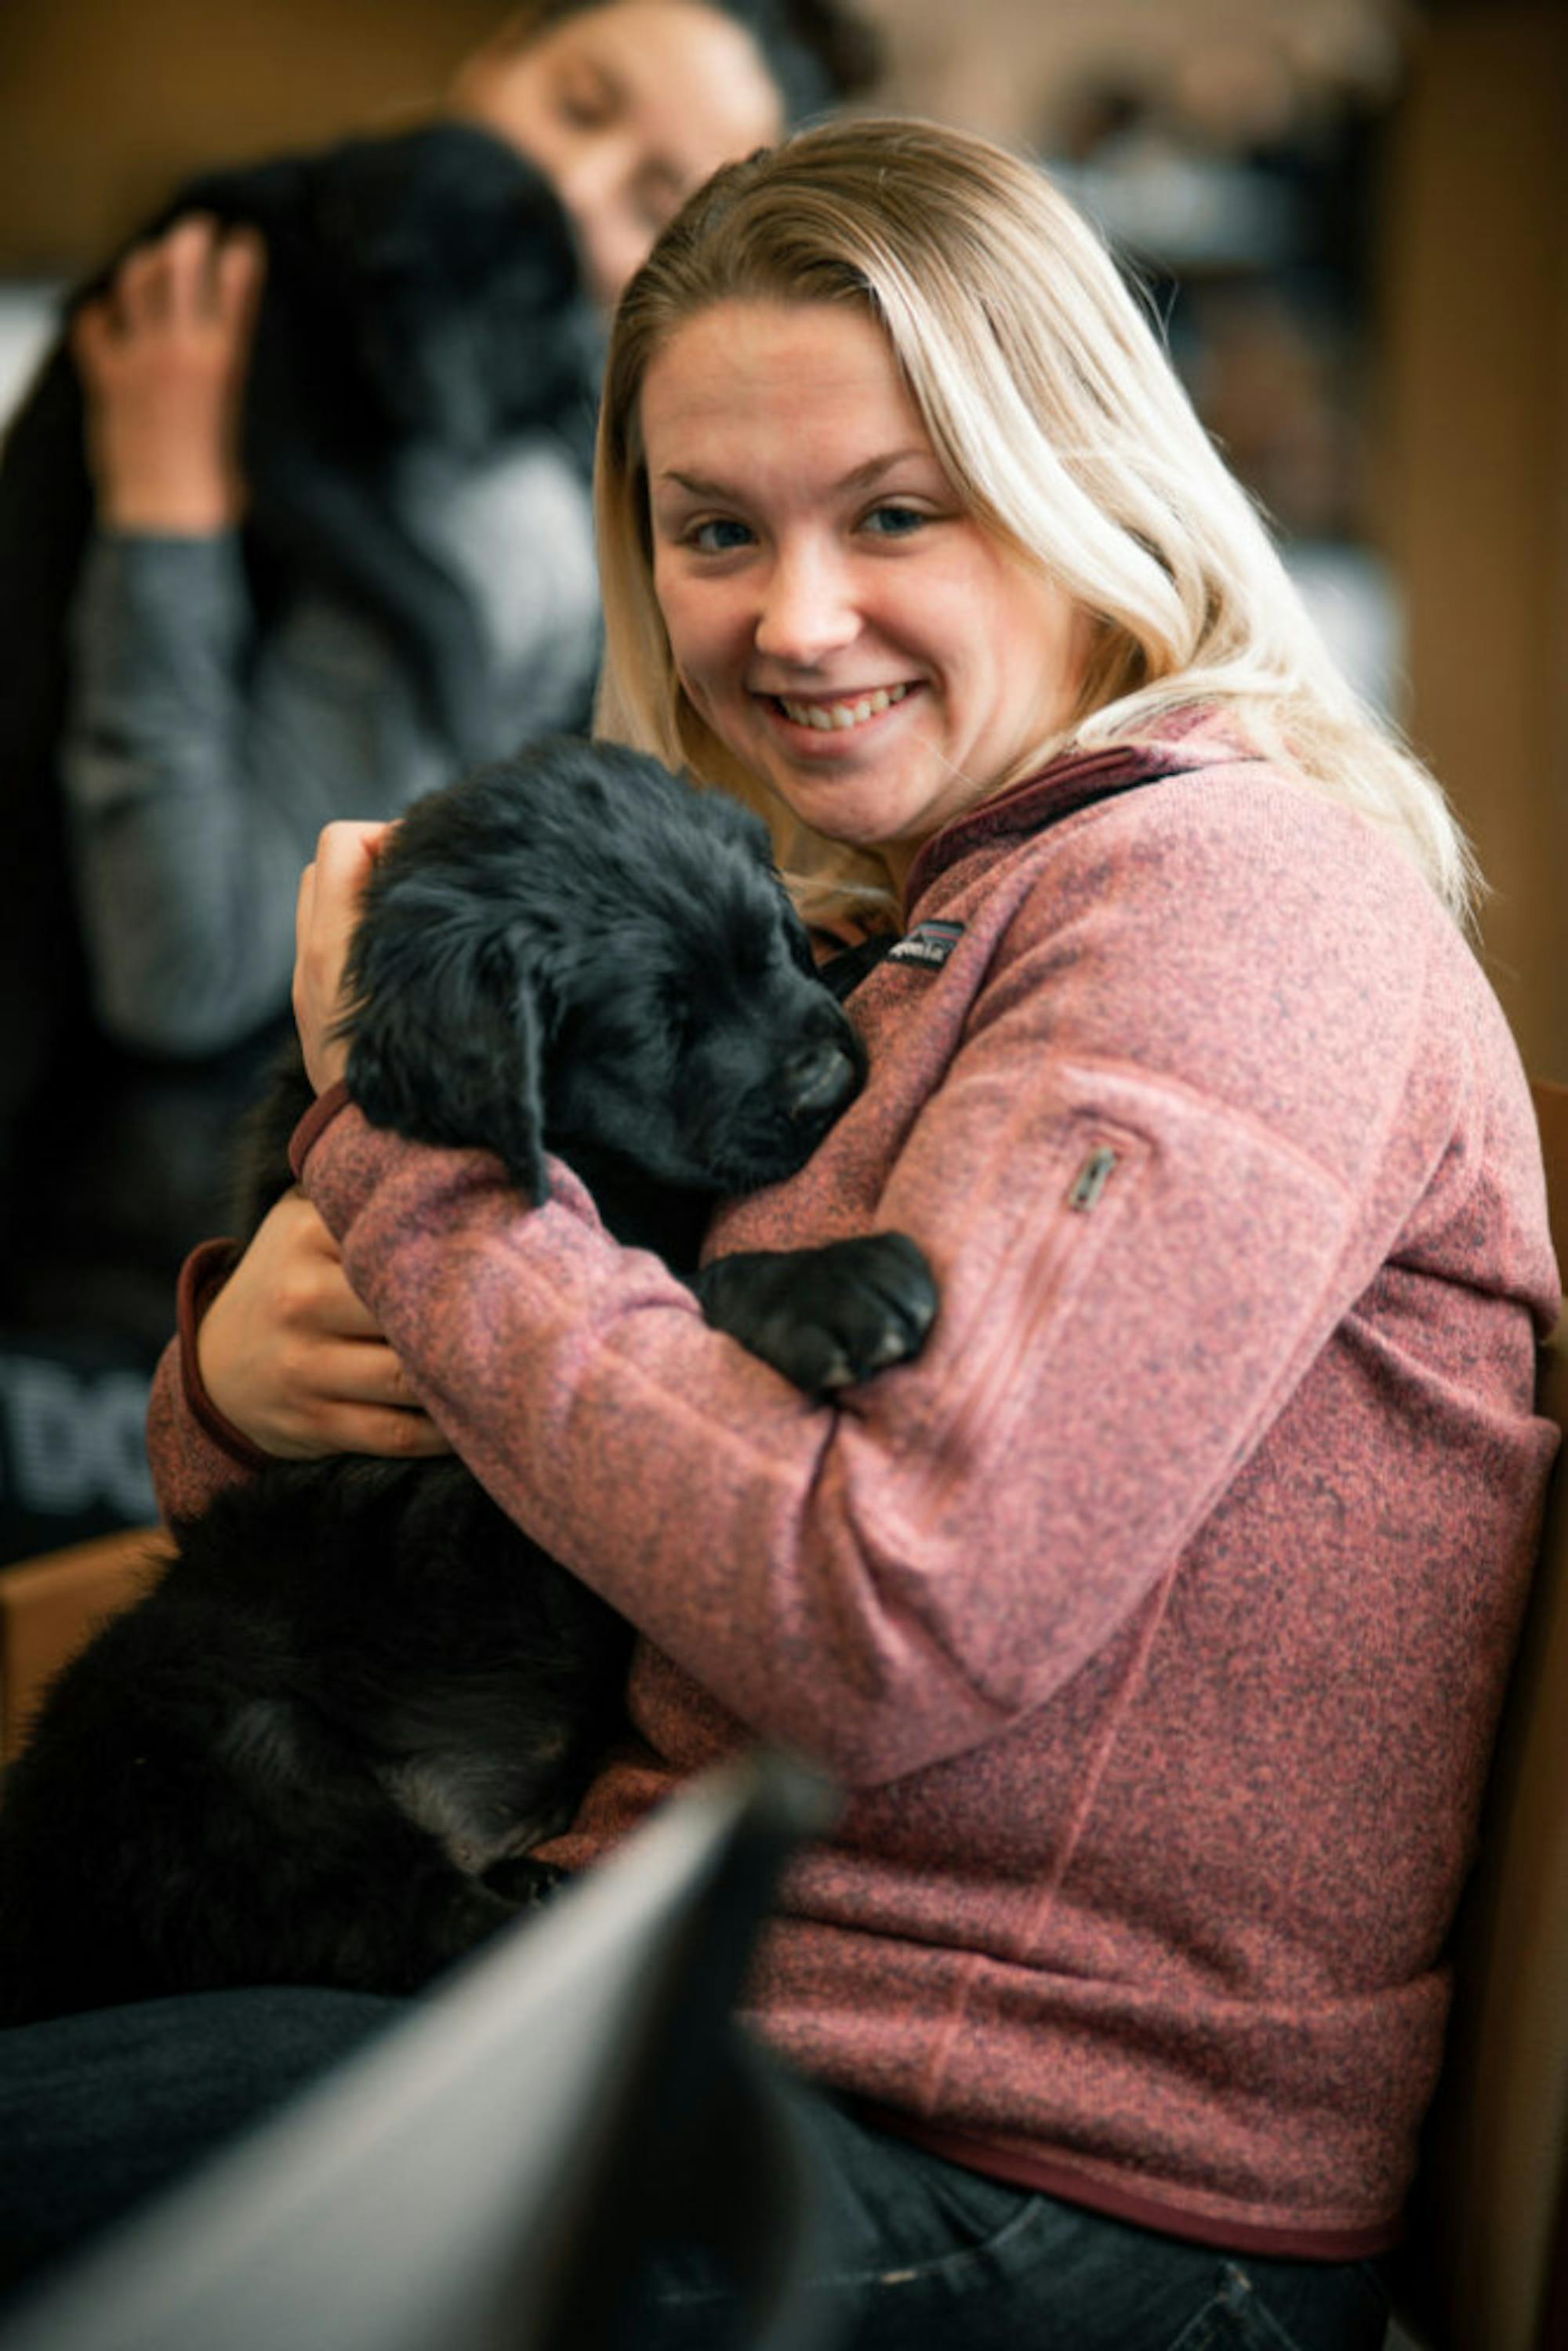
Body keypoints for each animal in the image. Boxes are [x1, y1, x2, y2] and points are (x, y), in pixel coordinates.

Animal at [0, 738, 940, 2022]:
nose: (822, 1083)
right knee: (402, 1927)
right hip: (221, 1743)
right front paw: (836, 1284)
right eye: (657, 1027)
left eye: (769, 944)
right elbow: (664, 1279)